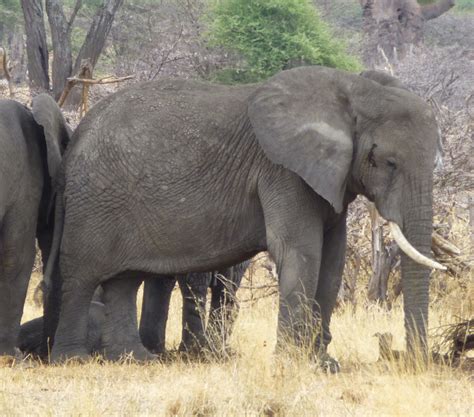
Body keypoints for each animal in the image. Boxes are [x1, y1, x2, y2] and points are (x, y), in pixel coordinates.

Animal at [45, 64, 444, 368]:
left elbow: (332, 260)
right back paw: (72, 360)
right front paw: (294, 363)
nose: (406, 359)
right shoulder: (282, 171)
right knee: (81, 276)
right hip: (93, 200)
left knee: (124, 281)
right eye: (388, 162)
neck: (353, 89)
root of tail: (76, 136)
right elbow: (301, 252)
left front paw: (323, 363)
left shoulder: (332, 178)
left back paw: (136, 359)